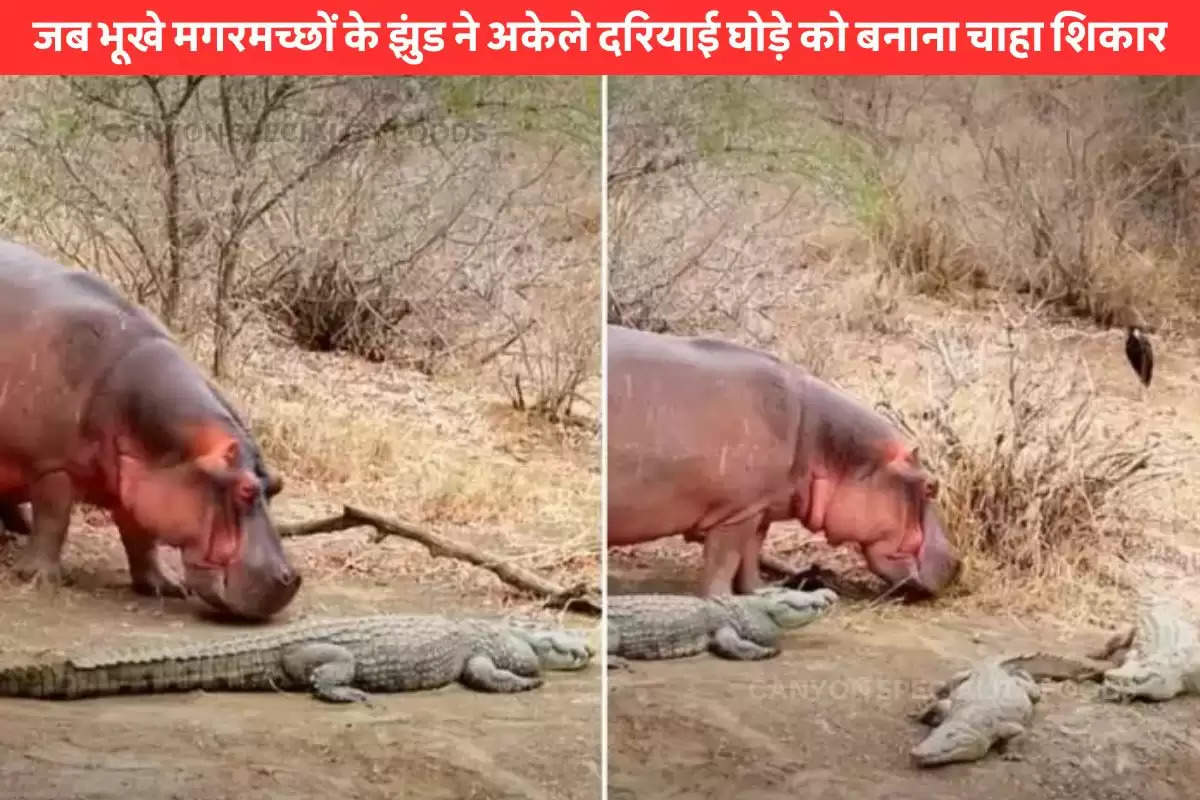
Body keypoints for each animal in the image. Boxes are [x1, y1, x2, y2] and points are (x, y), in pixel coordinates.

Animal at [0, 237, 298, 618]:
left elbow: (141, 538)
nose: (290, 578)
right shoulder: (52, 465)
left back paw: (17, 528)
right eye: (245, 490)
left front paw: (165, 587)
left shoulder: (138, 480)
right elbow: (55, 517)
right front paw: (39, 578)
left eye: (276, 485)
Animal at [604, 326, 960, 599]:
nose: (959, 564)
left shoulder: (760, 509)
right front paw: (720, 600)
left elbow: (750, 555)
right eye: (932, 486)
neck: (822, 442)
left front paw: (763, 593)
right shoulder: (735, 513)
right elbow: (724, 560)